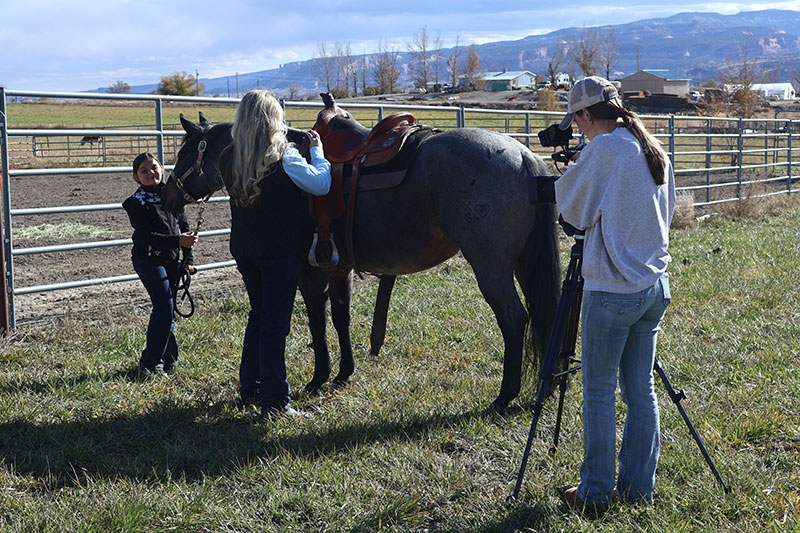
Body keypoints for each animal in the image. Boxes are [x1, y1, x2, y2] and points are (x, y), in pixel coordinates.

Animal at [162, 106, 561, 412]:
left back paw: (504, 395)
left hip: (492, 269)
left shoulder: (307, 273)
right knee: (541, 313)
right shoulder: (339, 269)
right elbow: (341, 317)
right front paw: (344, 373)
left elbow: (317, 322)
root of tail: (523, 156)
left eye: (183, 153)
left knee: (514, 319)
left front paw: (319, 377)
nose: (167, 197)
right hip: (523, 264)